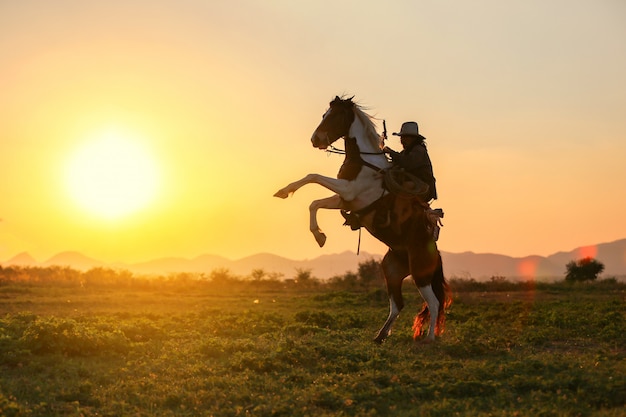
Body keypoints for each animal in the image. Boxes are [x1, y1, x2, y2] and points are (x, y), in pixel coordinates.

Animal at [272, 96, 448, 342]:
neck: (364, 164)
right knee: (398, 304)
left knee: (433, 303)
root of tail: (435, 252)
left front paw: (286, 192)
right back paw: (380, 336)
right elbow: (314, 203)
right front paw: (319, 235)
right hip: (392, 272)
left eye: (335, 116)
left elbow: (313, 176)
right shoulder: (345, 199)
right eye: (324, 114)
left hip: (421, 274)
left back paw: (429, 339)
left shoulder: (348, 191)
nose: (316, 139)